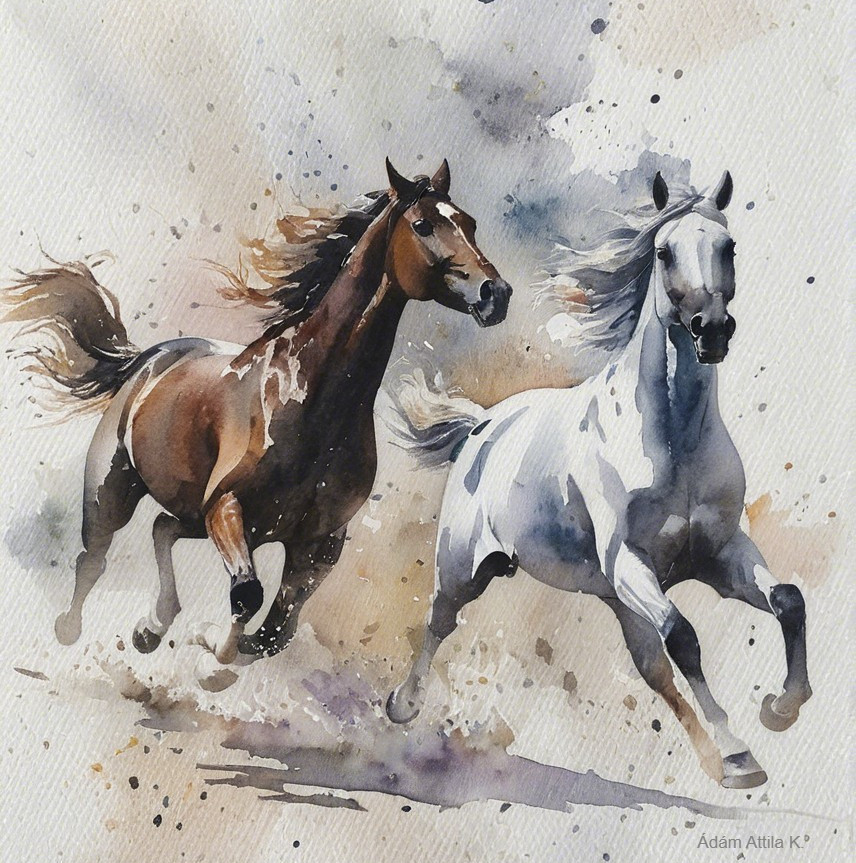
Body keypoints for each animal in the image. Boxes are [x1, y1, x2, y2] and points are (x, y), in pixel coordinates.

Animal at [2, 158, 512, 665]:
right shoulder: (227, 508)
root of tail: (147, 360)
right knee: (95, 555)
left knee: (163, 529)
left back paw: (151, 627)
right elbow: (247, 595)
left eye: (469, 223)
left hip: (191, 514)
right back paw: (70, 628)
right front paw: (214, 654)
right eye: (423, 225)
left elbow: (275, 630)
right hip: (113, 488)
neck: (311, 406)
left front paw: (218, 649)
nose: (496, 293)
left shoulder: (319, 543)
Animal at [385, 171, 811, 789]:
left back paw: (711, 757)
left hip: (619, 601)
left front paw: (780, 709)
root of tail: (482, 423)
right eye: (663, 252)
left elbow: (787, 599)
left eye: (728, 247)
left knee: (655, 672)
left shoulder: (721, 552)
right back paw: (402, 705)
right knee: (439, 622)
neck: (673, 441)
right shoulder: (630, 560)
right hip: (465, 568)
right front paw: (739, 755)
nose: (712, 331)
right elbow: (685, 637)